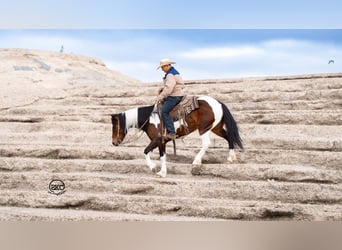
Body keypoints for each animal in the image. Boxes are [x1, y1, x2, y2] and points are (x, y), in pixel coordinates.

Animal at [111, 95, 242, 178]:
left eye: (115, 126)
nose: (114, 142)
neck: (150, 119)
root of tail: (219, 103)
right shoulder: (161, 142)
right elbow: (162, 156)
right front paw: (162, 173)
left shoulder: (157, 139)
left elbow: (146, 151)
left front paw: (153, 167)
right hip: (216, 128)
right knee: (229, 137)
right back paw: (231, 158)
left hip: (204, 129)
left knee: (206, 143)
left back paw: (196, 161)